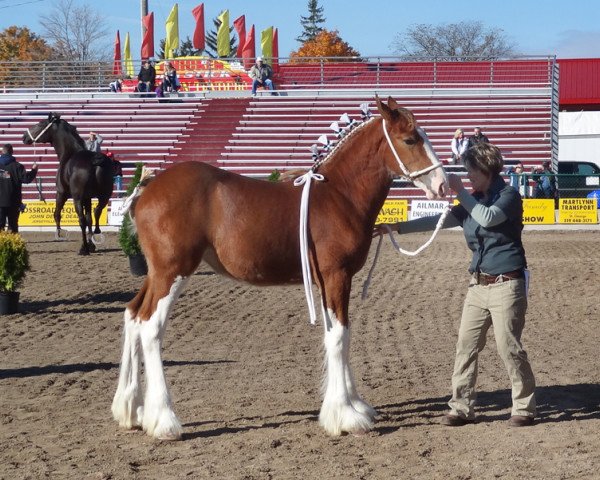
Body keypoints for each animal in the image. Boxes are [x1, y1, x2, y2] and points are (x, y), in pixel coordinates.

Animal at [22, 112, 115, 255]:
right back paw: (94, 237)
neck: (70, 153)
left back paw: (83, 248)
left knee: (81, 220)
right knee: (96, 212)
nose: (24, 137)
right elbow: (89, 218)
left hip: (77, 198)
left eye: (40, 124)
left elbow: (57, 214)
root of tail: (95, 160)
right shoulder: (88, 198)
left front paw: (60, 234)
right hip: (104, 196)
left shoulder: (61, 194)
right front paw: (91, 245)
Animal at [110, 96, 448, 438]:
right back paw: (164, 421)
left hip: (156, 274)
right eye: (410, 139)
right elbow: (339, 337)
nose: (442, 185)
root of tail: (148, 188)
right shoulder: (336, 276)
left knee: (133, 315)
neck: (339, 196)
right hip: (173, 271)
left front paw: (354, 405)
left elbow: (341, 335)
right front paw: (346, 417)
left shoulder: (328, 281)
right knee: (151, 327)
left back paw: (131, 410)